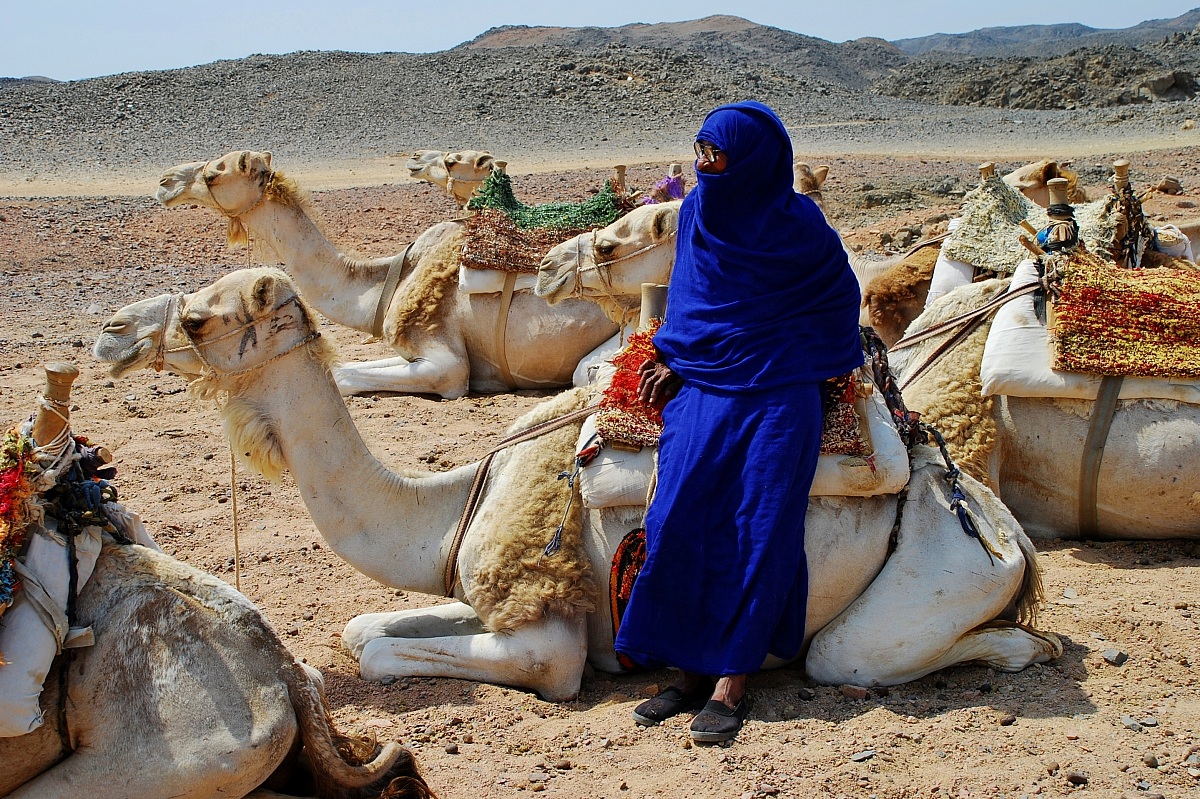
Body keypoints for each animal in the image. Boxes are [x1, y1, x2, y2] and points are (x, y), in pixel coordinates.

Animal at [96, 266, 1060, 695]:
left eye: (198, 319)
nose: (108, 332)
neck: (451, 506)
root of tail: (997, 524)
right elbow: (362, 623)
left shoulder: (549, 639)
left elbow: (376, 650)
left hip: (926, 580)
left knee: (854, 655)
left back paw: (1023, 647)